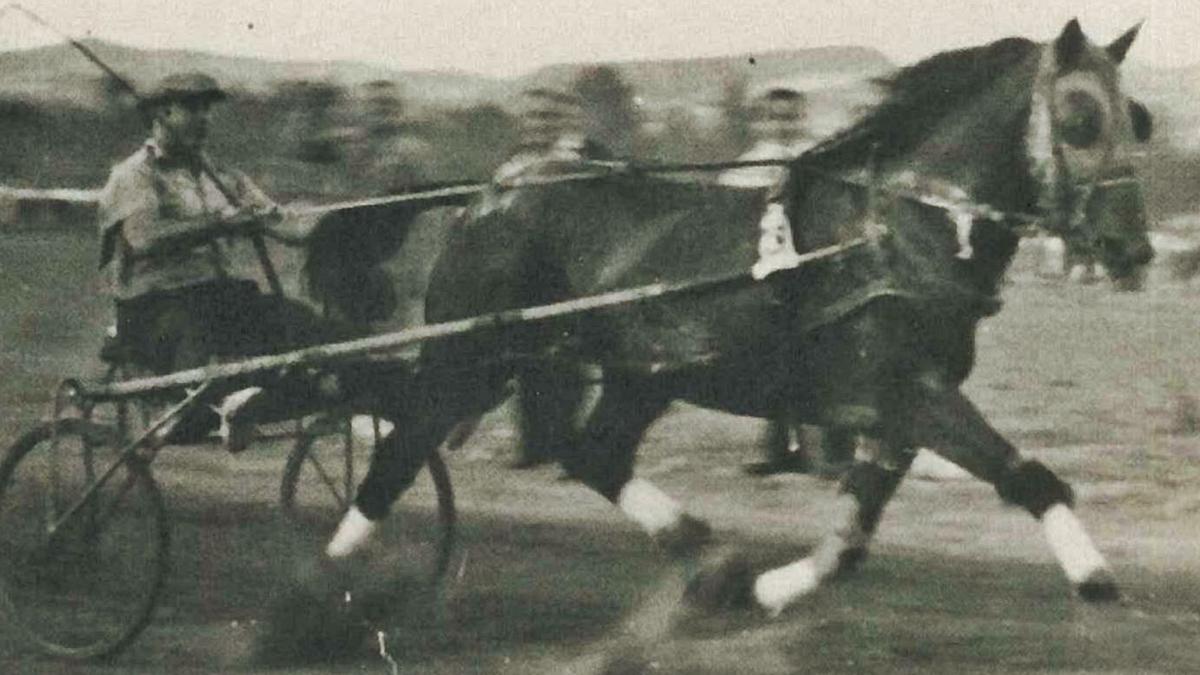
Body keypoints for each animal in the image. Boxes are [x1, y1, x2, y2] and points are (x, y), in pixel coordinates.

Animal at [316, 19, 1152, 614]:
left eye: (1137, 118)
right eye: (1081, 118)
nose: (1133, 248)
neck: (895, 231)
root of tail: (494, 189)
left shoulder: (896, 408)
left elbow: (852, 536)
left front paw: (770, 588)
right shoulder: (909, 391)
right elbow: (1026, 473)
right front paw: (1094, 574)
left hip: (632, 371)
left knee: (591, 451)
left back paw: (704, 555)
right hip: (471, 358)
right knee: (403, 448)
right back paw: (327, 572)